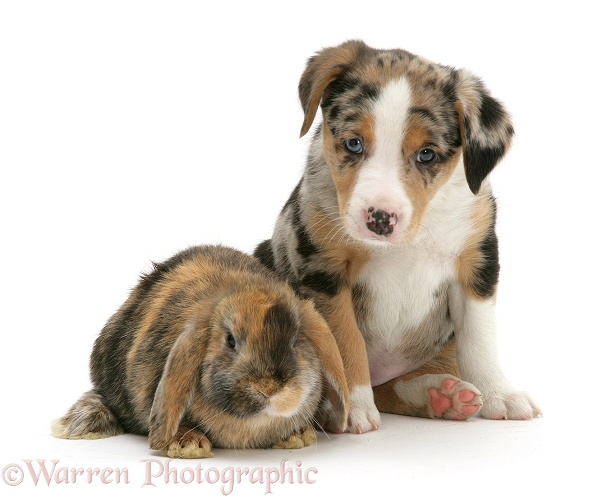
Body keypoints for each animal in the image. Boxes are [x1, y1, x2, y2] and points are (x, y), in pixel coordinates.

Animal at [253, 40, 540, 434]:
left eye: (427, 154)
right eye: (353, 144)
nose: (380, 218)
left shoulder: (477, 262)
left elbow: (479, 338)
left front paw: (502, 394)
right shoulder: (323, 272)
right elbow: (346, 344)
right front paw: (354, 409)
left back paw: (442, 395)